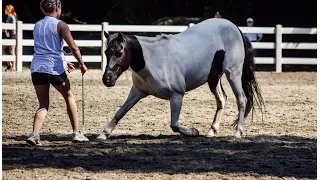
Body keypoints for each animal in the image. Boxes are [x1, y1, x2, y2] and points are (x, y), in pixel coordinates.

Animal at [96, 17, 264, 139]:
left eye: (118, 53)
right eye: (106, 52)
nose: (107, 79)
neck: (152, 59)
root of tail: (236, 29)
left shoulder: (177, 96)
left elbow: (174, 125)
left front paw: (193, 131)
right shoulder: (137, 92)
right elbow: (120, 112)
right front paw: (104, 134)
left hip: (233, 74)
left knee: (241, 100)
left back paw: (238, 132)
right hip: (213, 78)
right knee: (222, 100)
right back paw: (212, 131)